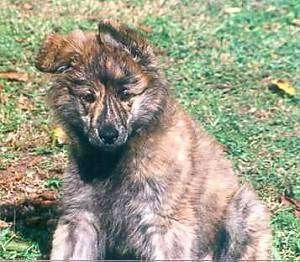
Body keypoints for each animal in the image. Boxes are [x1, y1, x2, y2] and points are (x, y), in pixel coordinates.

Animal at [35, 20, 272, 260]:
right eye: (88, 97)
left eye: (125, 94)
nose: (108, 134)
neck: (116, 158)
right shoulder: (81, 215)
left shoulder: (163, 221)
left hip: (243, 210)